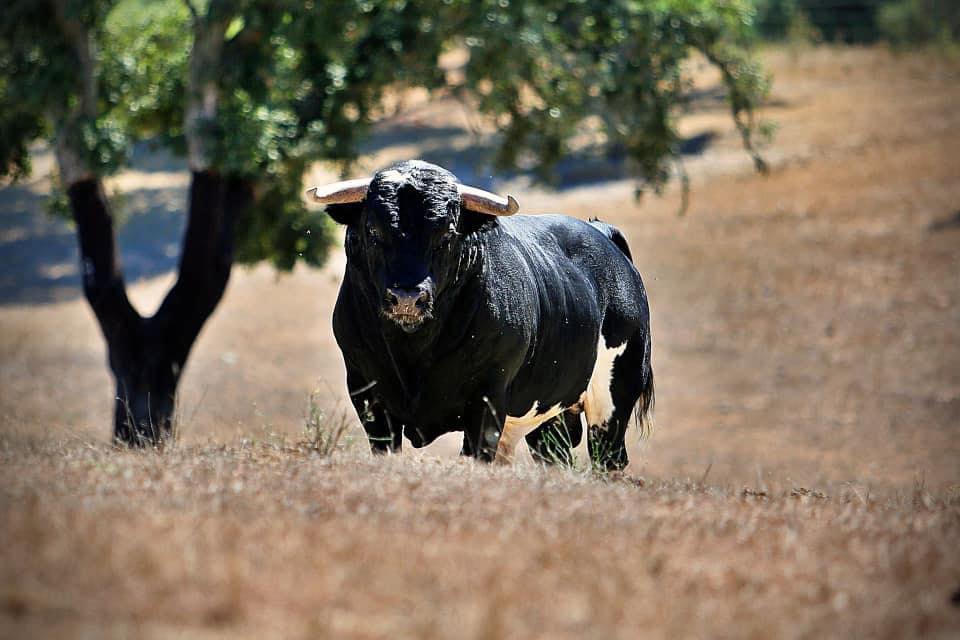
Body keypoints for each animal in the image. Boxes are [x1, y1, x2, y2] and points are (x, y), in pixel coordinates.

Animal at [308, 160, 653, 470]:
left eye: (447, 234)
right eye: (373, 230)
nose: (407, 298)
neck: (414, 348)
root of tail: (602, 234)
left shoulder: (487, 397)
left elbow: (476, 454)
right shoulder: (367, 391)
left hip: (615, 397)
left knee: (608, 458)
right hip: (548, 416)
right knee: (554, 456)